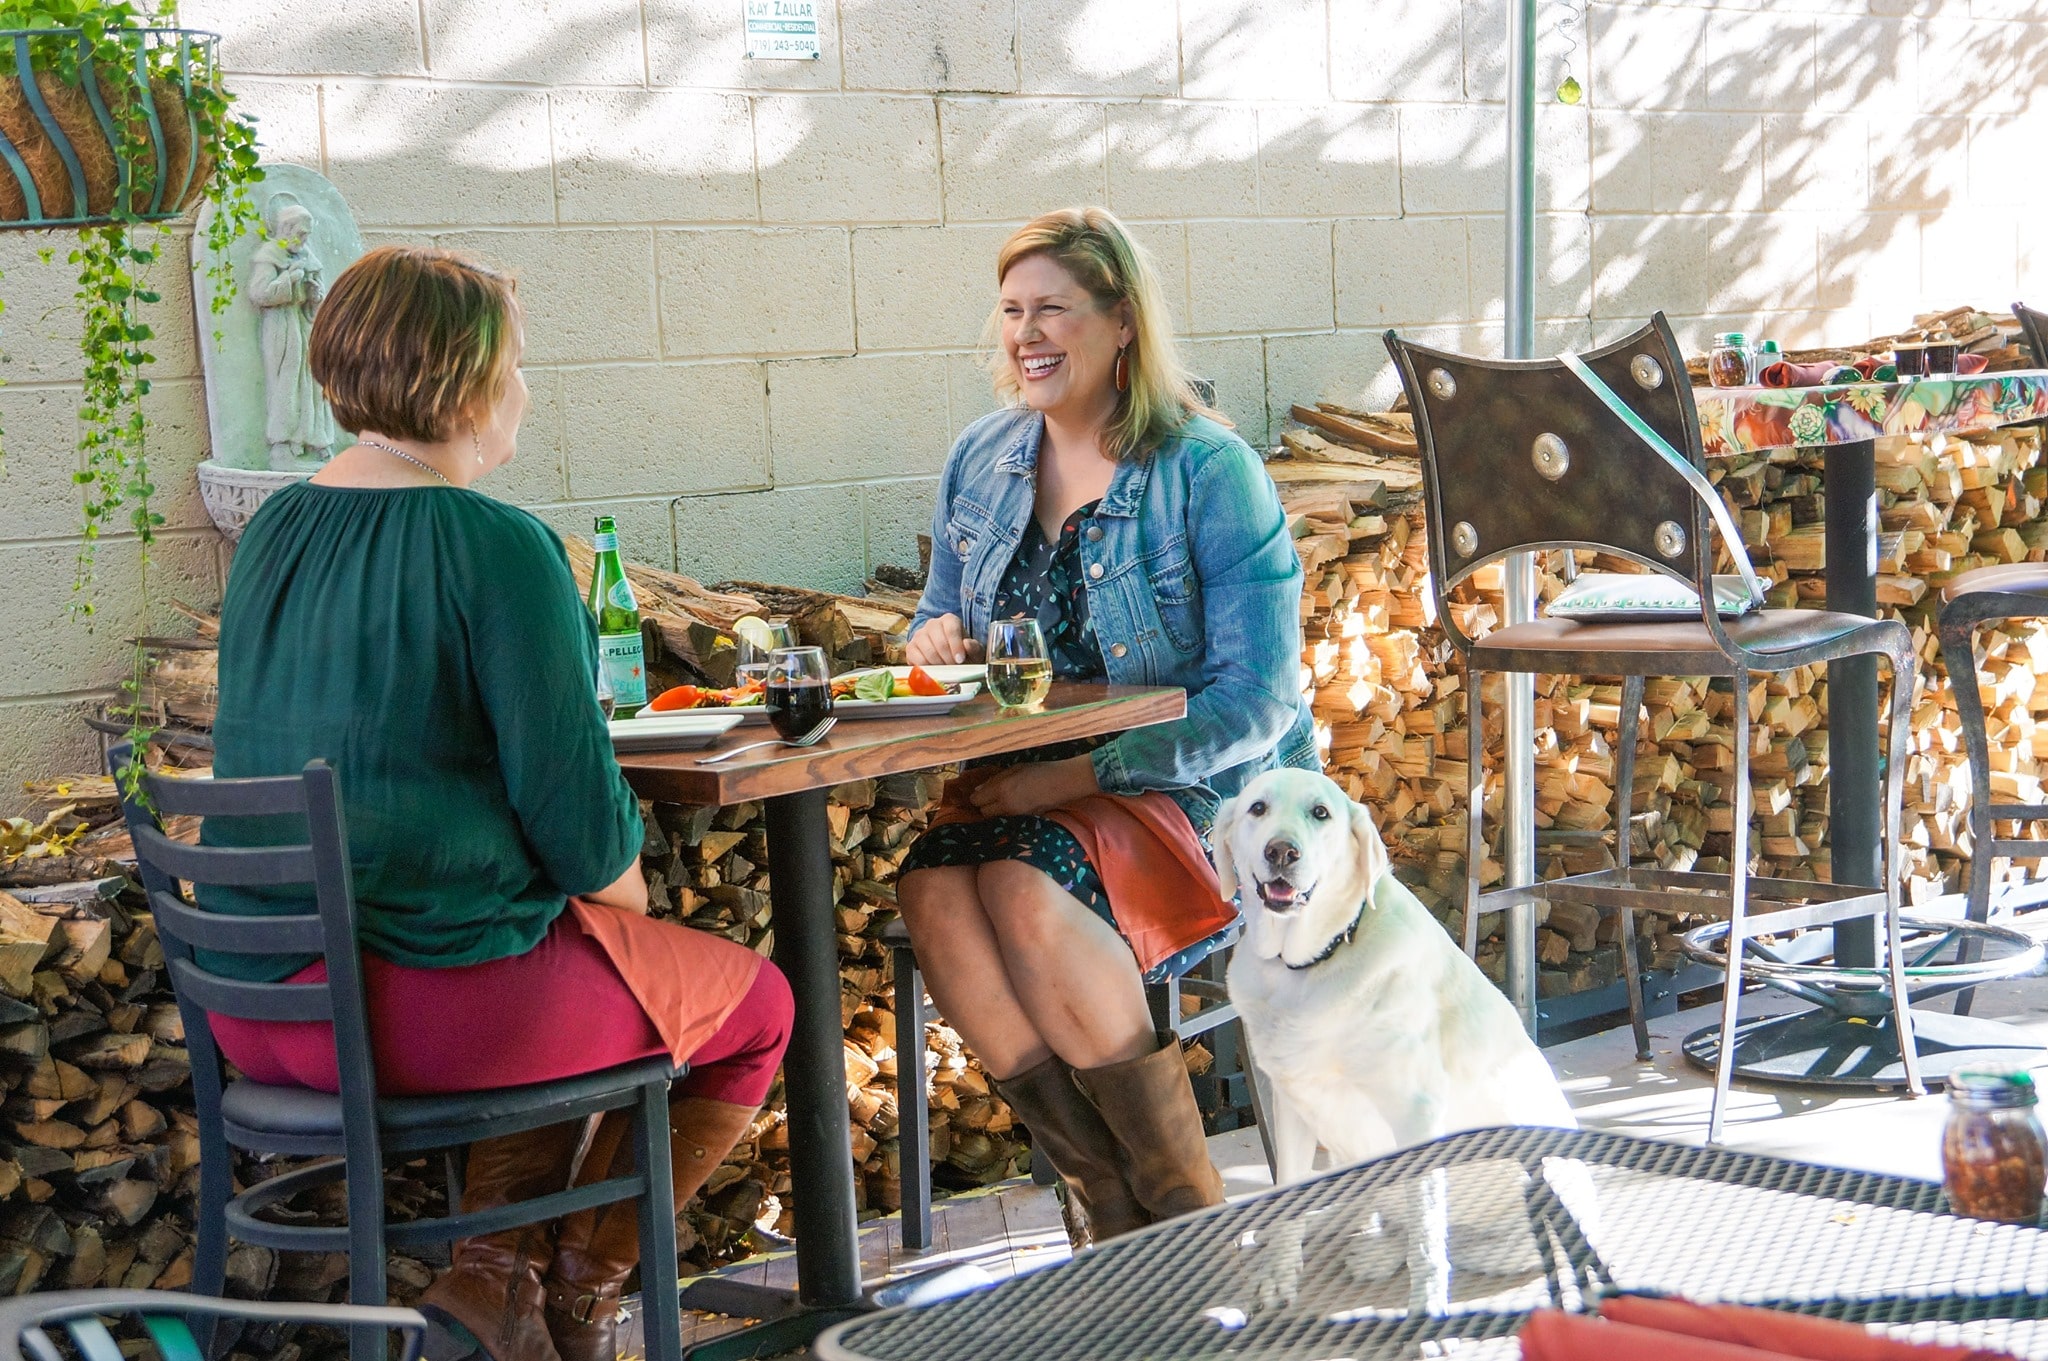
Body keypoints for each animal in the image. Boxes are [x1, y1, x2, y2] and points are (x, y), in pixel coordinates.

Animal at [1212, 769, 1581, 1309]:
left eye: (1320, 813)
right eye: (1257, 808)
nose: (1281, 852)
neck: (1310, 964)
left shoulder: (1417, 1114)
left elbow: (1426, 1237)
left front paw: (1426, 1309)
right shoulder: (1290, 1101)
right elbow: (1290, 1189)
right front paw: (1280, 1272)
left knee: (1452, 1241)